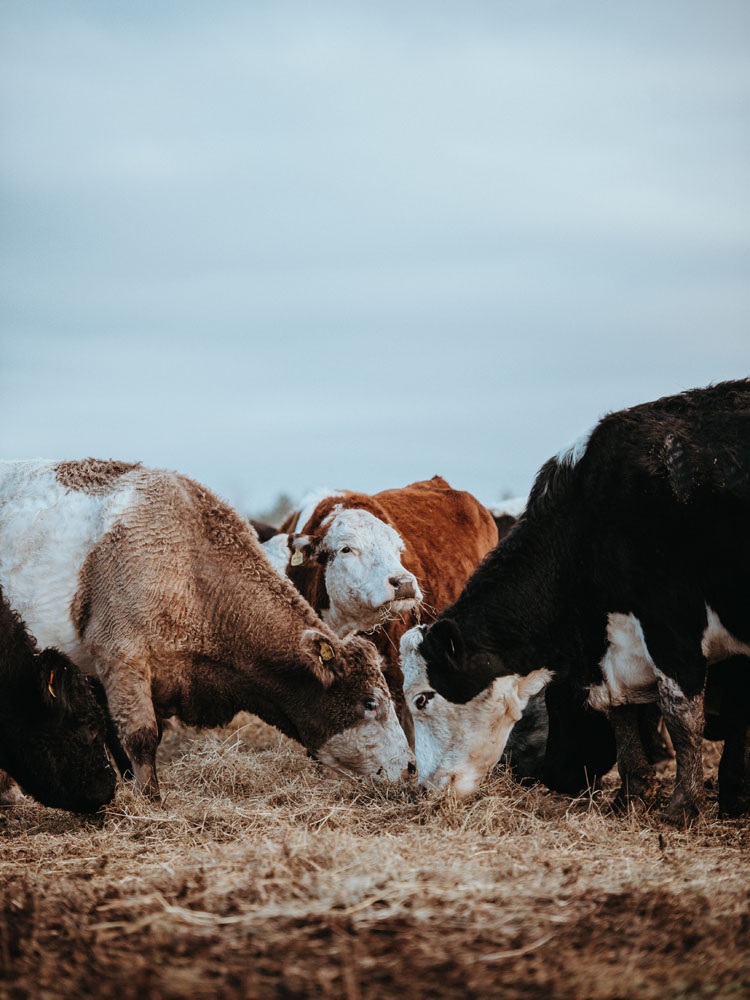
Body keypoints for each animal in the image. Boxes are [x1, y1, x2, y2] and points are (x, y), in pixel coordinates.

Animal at [401, 381, 750, 823]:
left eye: (422, 698)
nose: (424, 789)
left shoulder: (672, 624)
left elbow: (682, 717)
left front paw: (683, 807)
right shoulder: (610, 651)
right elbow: (621, 713)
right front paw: (629, 798)